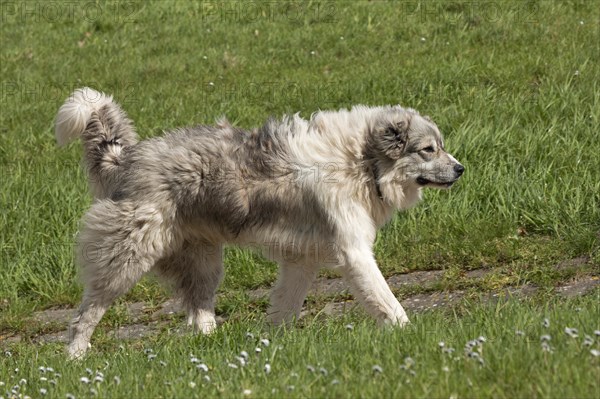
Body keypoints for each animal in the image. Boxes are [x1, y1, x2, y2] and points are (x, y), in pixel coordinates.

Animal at [55, 87, 464, 360]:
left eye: (441, 146)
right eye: (428, 150)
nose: (461, 169)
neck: (361, 162)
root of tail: (127, 158)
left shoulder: (302, 261)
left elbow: (284, 308)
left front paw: (270, 346)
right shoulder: (354, 253)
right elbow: (387, 301)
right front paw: (410, 335)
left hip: (205, 264)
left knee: (198, 312)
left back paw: (212, 347)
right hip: (127, 258)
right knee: (86, 313)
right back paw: (75, 356)